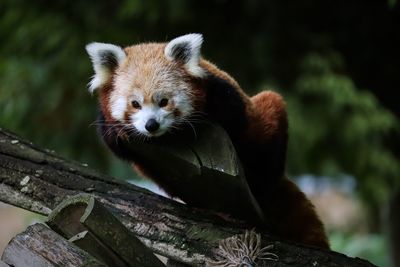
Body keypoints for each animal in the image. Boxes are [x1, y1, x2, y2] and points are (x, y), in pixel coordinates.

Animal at [86, 34, 330, 250]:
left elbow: (230, 119)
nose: (151, 125)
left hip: (264, 125)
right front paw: (120, 132)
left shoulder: (224, 96)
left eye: (164, 101)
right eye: (135, 104)